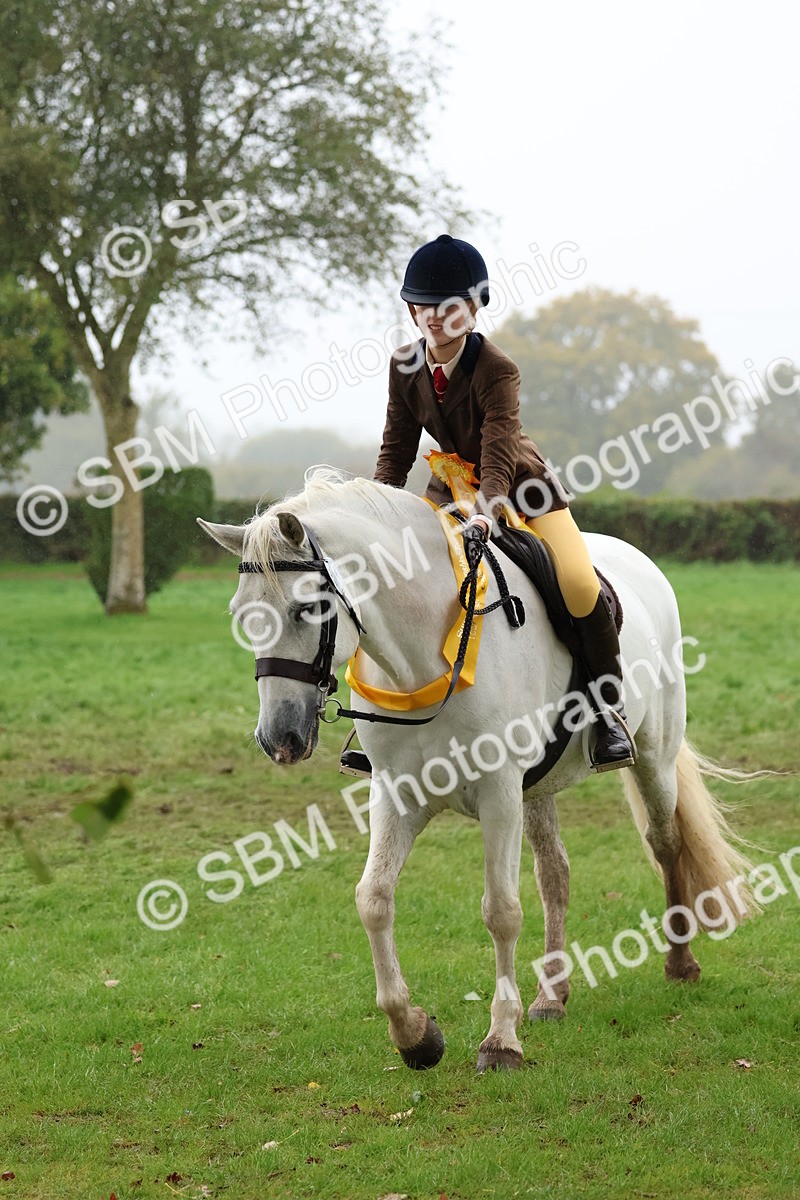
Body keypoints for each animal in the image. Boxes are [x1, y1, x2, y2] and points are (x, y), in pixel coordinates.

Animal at [198, 468, 758, 1073]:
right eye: (239, 615)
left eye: (307, 610)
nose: (280, 739)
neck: (420, 656)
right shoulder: (397, 795)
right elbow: (374, 899)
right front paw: (415, 1035)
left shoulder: (498, 794)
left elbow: (501, 911)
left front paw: (500, 1041)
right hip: (538, 788)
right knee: (555, 874)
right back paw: (551, 996)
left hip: (651, 757)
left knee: (665, 842)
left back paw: (679, 963)